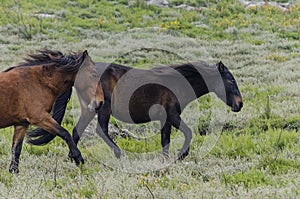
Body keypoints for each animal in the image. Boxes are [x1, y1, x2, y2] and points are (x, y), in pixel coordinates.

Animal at [27, 60, 244, 160]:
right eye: (230, 81)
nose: (240, 104)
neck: (177, 82)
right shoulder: (173, 115)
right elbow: (189, 133)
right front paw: (181, 155)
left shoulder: (166, 119)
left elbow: (165, 141)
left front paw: (166, 160)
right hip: (103, 109)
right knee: (101, 130)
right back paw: (118, 154)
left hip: (90, 110)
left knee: (76, 131)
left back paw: (74, 157)